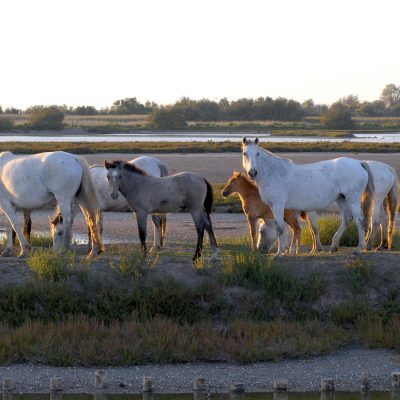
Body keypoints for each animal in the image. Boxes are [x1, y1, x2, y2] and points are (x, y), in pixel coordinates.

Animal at [242, 138, 374, 256]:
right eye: (245, 153)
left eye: (258, 153)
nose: (252, 172)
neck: (273, 173)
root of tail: (359, 163)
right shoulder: (275, 207)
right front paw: (285, 250)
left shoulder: (278, 205)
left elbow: (279, 228)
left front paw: (279, 253)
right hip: (341, 199)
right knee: (347, 218)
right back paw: (334, 246)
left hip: (353, 199)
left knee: (359, 220)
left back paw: (358, 248)